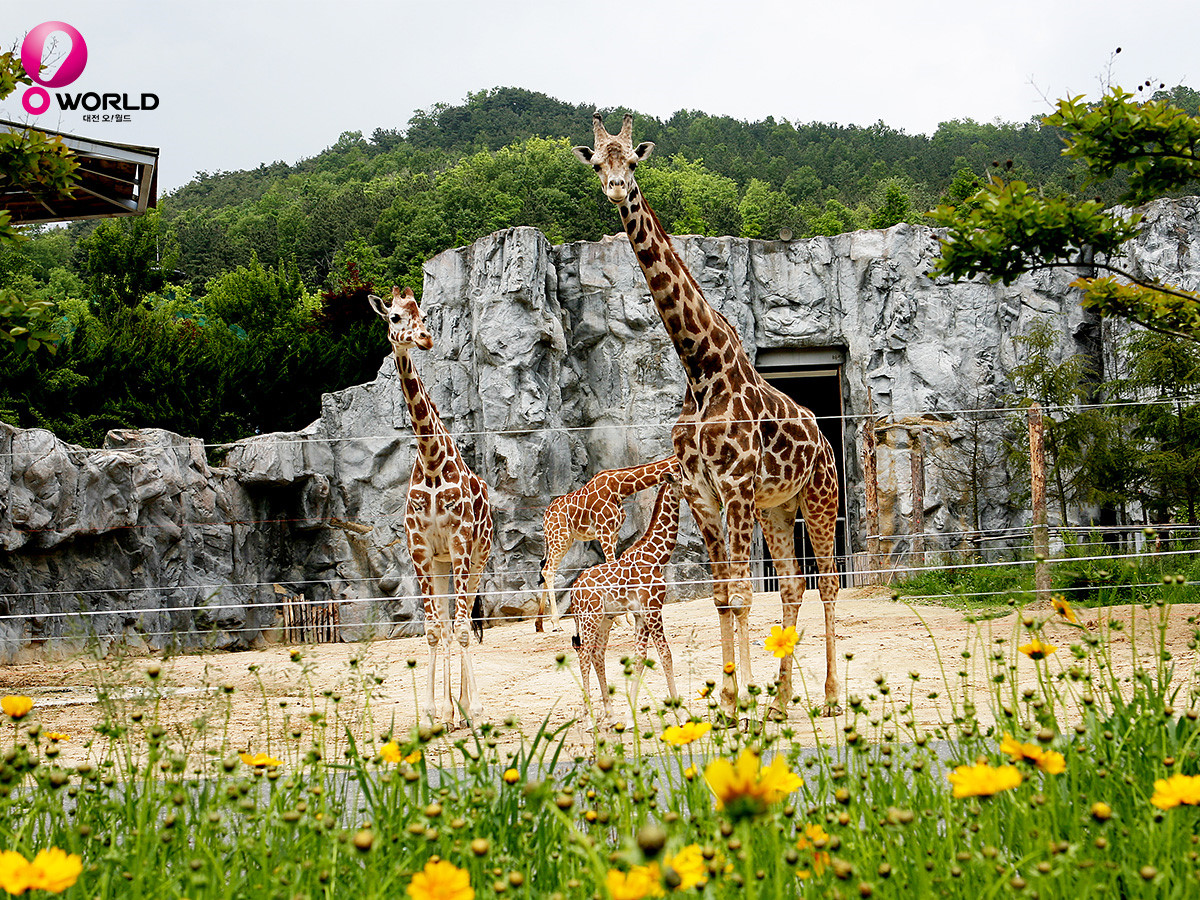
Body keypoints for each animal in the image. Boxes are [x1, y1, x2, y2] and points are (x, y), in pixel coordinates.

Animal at [369, 285, 492, 729]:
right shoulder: (421, 550)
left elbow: (460, 628)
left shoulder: (459, 543)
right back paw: (451, 710)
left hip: (476, 557)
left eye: (423, 314)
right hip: (440, 564)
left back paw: (469, 708)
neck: (432, 460)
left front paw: (471, 711)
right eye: (394, 317)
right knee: (447, 620)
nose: (424, 339)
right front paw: (432, 715)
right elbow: (434, 630)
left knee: (466, 620)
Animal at [540, 453, 681, 628]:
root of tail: (545, 518)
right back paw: (555, 623)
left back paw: (541, 624)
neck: (619, 487)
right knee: (548, 570)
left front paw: (626, 618)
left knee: (545, 568)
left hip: (565, 539)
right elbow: (611, 564)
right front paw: (619, 620)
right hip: (559, 537)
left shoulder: (614, 532)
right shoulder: (604, 531)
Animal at [568, 472, 681, 734]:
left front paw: (630, 719)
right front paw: (681, 714)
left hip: (603, 620)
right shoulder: (653, 608)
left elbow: (640, 658)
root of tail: (573, 591)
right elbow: (665, 654)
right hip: (589, 618)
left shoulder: (641, 614)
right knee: (584, 655)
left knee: (597, 654)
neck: (656, 555)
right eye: (684, 479)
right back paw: (589, 721)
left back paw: (610, 717)